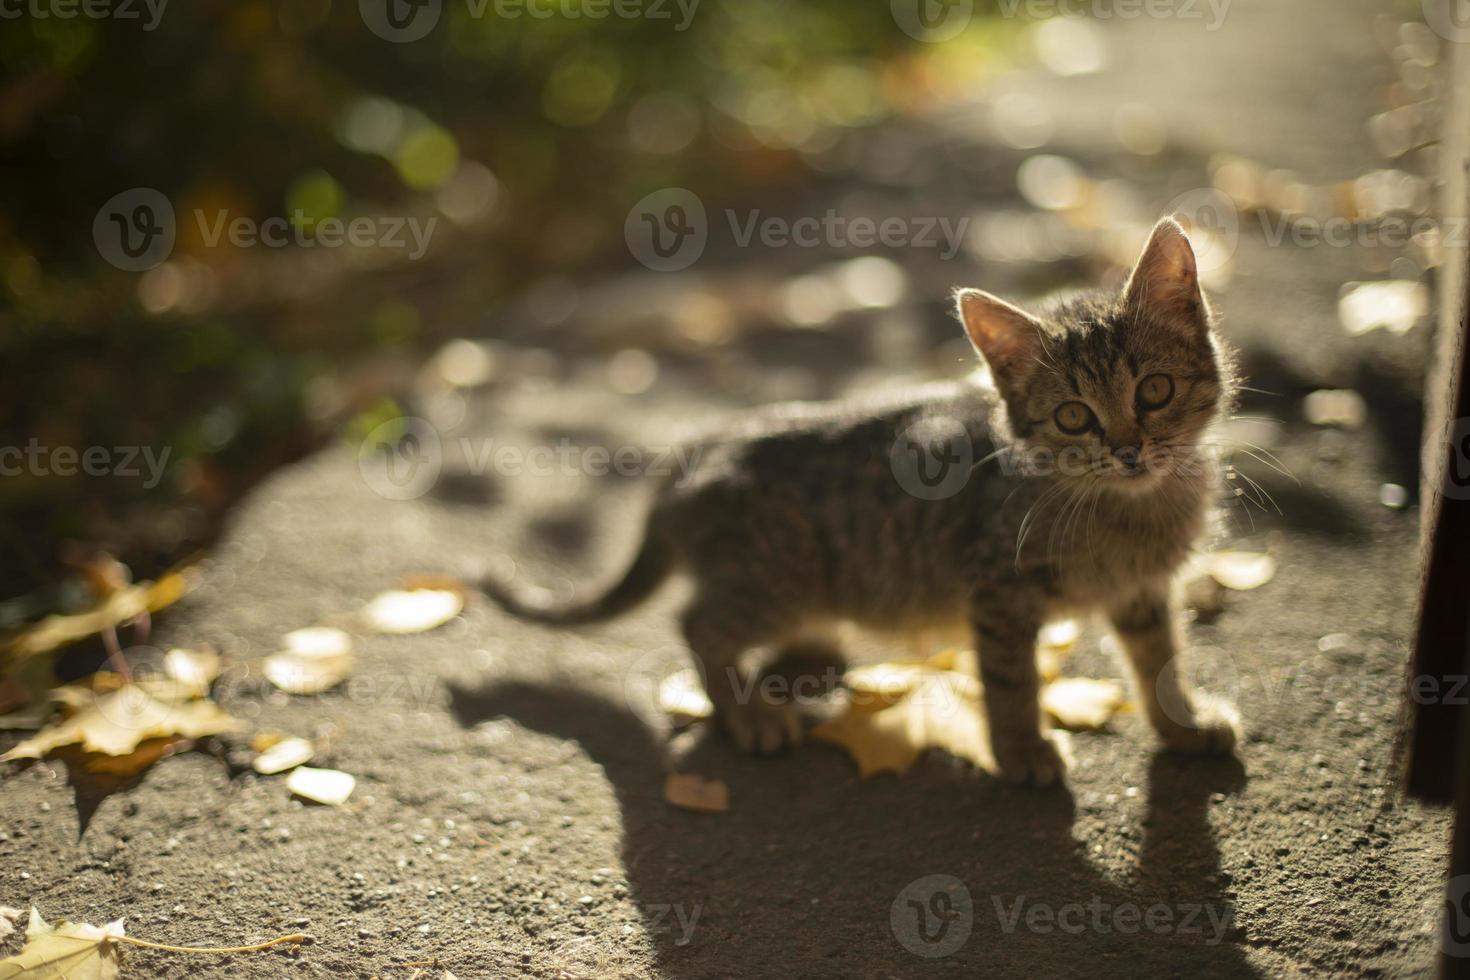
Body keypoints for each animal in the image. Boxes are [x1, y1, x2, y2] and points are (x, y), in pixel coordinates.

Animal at [490, 218, 1240, 787]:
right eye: (1074, 417)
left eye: (1155, 391)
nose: (1128, 450)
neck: (1128, 510)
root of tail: (701, 445)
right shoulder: (998, 595)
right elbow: (1011, 683)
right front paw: (1022, 751)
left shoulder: (1144, 591)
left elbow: (1160, 659)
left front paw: (1182, 724)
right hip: (774, 579)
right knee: (698, 622)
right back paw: (750, 715)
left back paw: (809, 658)